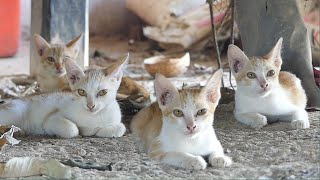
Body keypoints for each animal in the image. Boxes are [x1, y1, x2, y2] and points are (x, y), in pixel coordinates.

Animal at [0, 55, 128, 139]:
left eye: (102, 92)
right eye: (81, 92)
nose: (90, 105)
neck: (93, 117)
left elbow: (121, 128)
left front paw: (99, 131)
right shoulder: (51, 118)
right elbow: (72, 129)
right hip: (15, 111)